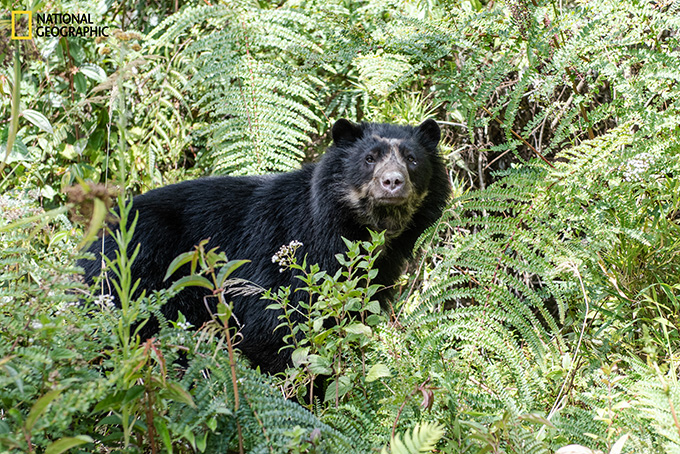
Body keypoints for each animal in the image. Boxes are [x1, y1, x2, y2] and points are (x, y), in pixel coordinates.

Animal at [79, 119, 451, 374]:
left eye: (412, 159)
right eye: (370, 158)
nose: (393, 182)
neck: (358, 229)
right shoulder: (291, 259)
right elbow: (275, 331)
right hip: (139, 281)